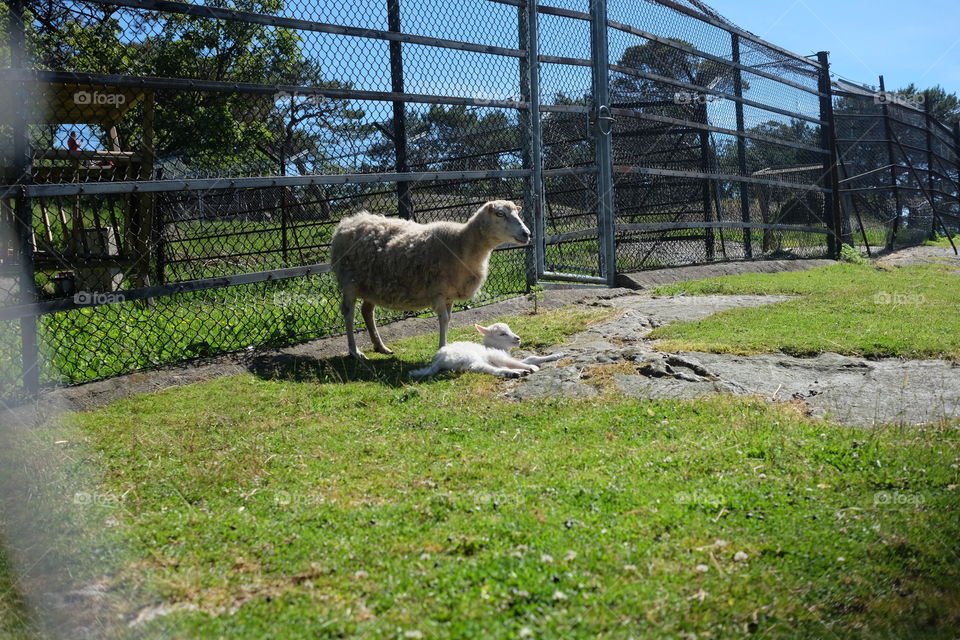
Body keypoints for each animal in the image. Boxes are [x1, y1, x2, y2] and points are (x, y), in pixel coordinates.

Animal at [330, 200, 531, 360]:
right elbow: (444, 319)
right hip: (350, 282)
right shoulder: (439, 291)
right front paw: (442, 347)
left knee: (366, 311)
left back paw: (381, 347)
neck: (461, 243)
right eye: (500, 214)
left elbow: (449, 319)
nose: (527, 234)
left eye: (517, 212)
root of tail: (348, 222)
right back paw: (355, 351)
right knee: (348, 313)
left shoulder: (450, 294)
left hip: (371, 285)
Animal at [410, 322, 566, 378]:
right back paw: (516, 372)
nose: (518, 338)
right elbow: (526, 361)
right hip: (468, 357)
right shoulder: (498, 356)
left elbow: (530, 358)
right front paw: (533, 367)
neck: (495, 346)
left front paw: (557, 355)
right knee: (482, 368)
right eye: (502, 334)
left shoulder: (503, 357)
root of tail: (437, 362)